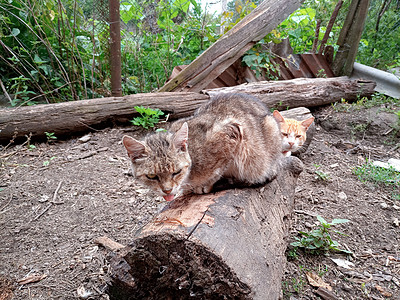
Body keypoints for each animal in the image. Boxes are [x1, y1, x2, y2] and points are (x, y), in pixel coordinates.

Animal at [123, 94, 282, 202]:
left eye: (177, 172)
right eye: (151, 176)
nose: (167, 190)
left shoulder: (233, 132)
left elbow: (220, 168)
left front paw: (206, 185)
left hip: (270, 131)